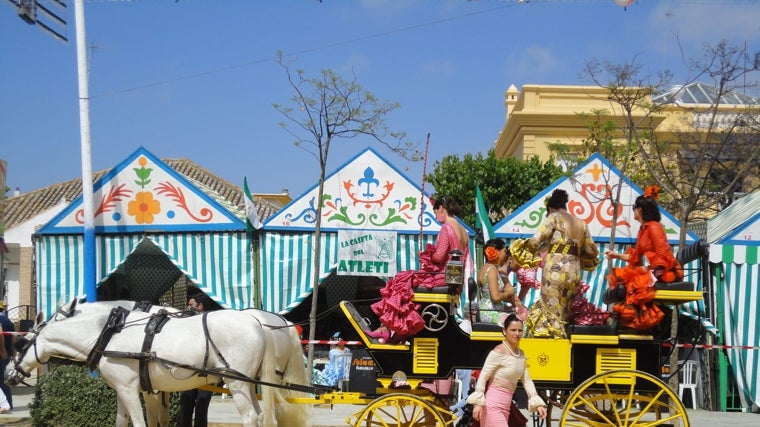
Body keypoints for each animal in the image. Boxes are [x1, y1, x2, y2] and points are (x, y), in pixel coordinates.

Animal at [8, 302, 306, 426]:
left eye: (20, 344)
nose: (9, 374)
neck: (111, 333)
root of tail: (259, 323)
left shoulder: (131, 390)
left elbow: (142, 423)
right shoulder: (134, 390)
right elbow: (128, 422)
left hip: (238, 384)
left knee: (251, 418)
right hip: (250, 383)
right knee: (264, 417)